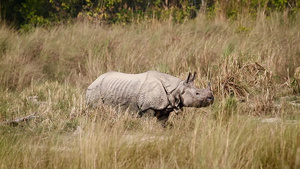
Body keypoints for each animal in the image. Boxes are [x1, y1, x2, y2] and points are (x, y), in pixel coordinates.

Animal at [85, 71, 214, 123]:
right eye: (197, 94)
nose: (211, 98)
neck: (177, 89)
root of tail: (94, 80)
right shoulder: (147, 107)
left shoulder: (165, 108)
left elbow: (162, 123)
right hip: (95, 89)